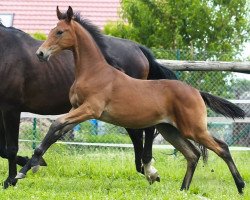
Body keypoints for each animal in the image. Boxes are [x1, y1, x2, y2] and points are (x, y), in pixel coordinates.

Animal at [0, 18, 178, 188]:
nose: (41, 54)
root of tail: (139, 49)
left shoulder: (11, 108)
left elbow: (11, 148)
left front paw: (11, 179)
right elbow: (4, 149)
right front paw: (30, 164)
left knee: (146, 130)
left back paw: (147, 168)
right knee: (138, 134)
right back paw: (144, 168)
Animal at [18, 6, 245, 194]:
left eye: (59, 32)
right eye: (51, 30)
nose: (40, 53)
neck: (94, 72)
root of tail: (197, 92)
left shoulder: (90, 110)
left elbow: (55, 124)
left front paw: (27, 167)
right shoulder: (77, 110)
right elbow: (56, 132)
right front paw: (23, 171)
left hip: (193, 129)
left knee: (222, 148)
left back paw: (240, 186)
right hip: (170, 130)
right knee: (193, 154)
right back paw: (183, 189)